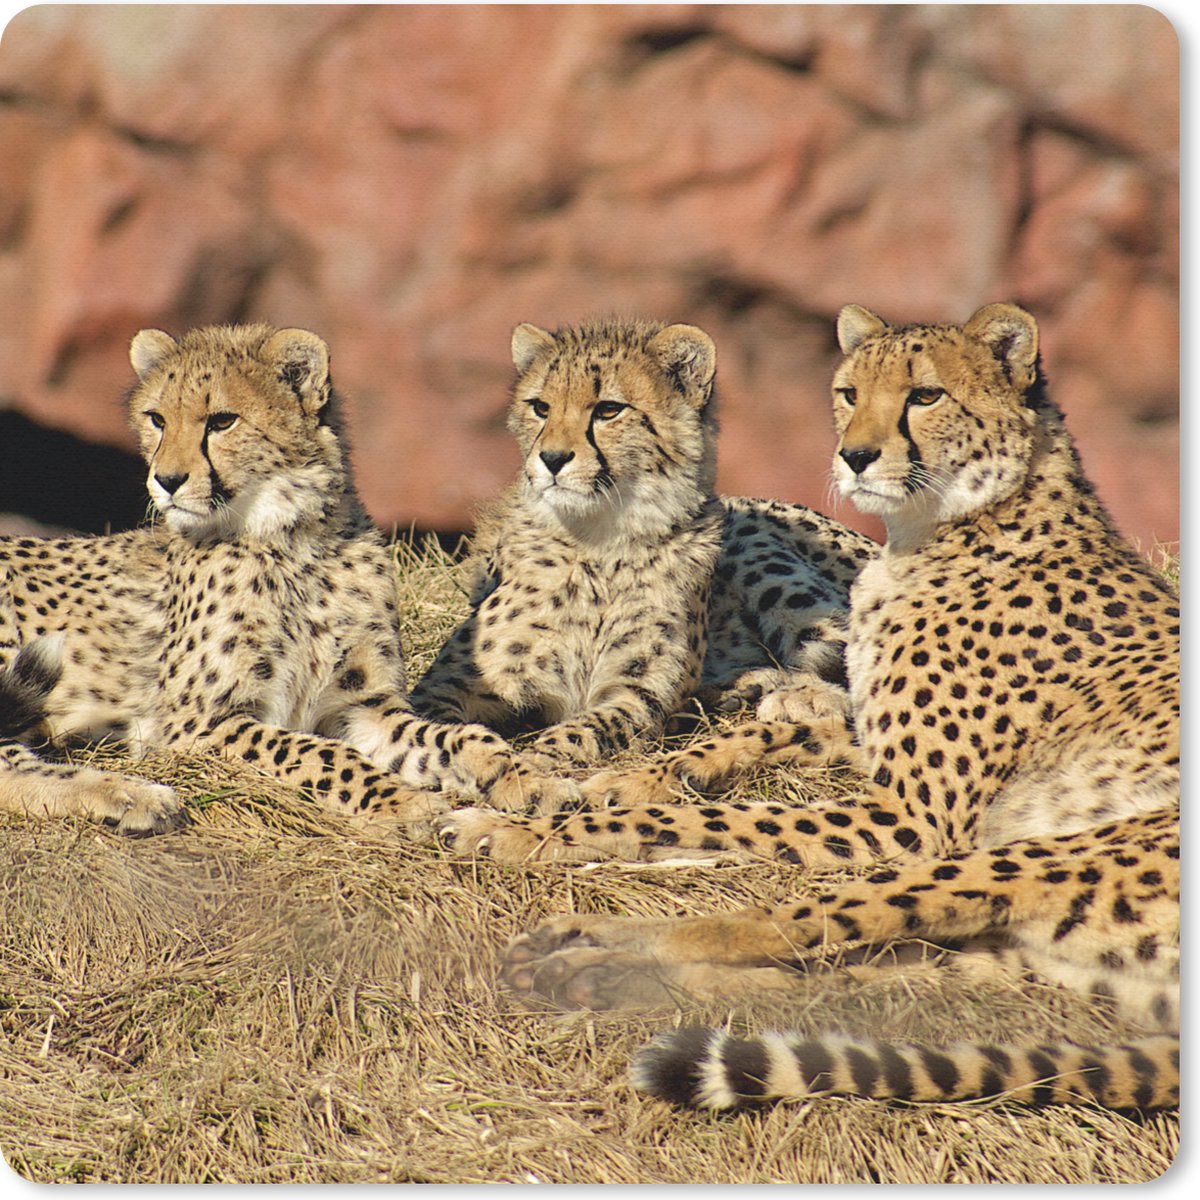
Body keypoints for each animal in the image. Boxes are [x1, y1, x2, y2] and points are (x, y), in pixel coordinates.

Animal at [0, 322, 538, 834]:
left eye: (222, 421)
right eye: (157, 419)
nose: (167, 481)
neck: (291, 540)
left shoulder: (365, 705)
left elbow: (449, 737)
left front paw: (520, 776)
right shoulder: (195, 724)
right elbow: (320, 753)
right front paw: (401, 801)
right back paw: (132, 797)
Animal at [410, 317, 875, 779]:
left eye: (608, 410)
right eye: (540, 407)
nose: (552, 459)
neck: (597, 542)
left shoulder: (636, 693)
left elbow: (583, 731)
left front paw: (538, 764)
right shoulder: (444, 687)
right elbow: (435, 731)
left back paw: (798, 695)